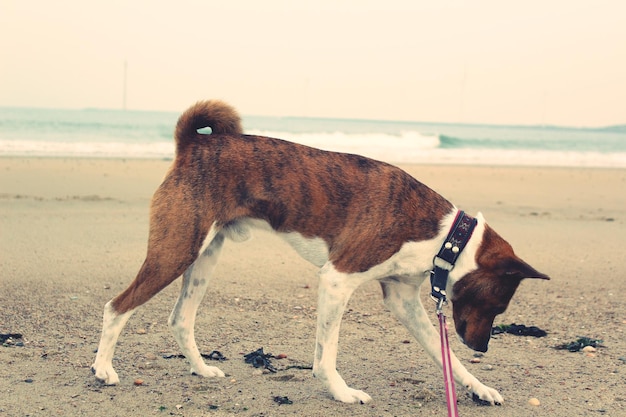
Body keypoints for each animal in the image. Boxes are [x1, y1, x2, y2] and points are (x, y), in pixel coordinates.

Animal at [91, 100, 544, 404]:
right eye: (498, 306)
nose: (483, 347)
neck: (447, 236)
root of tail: (193, 146)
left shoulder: (402, 300)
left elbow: (445, 356)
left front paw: (479, 387)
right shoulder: (338, 278)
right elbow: (326, 356)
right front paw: (341, 392)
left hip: (204, 256)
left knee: (181, 318)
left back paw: (201, 369)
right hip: (175, 251)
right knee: (117, 307)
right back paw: (103, 369)